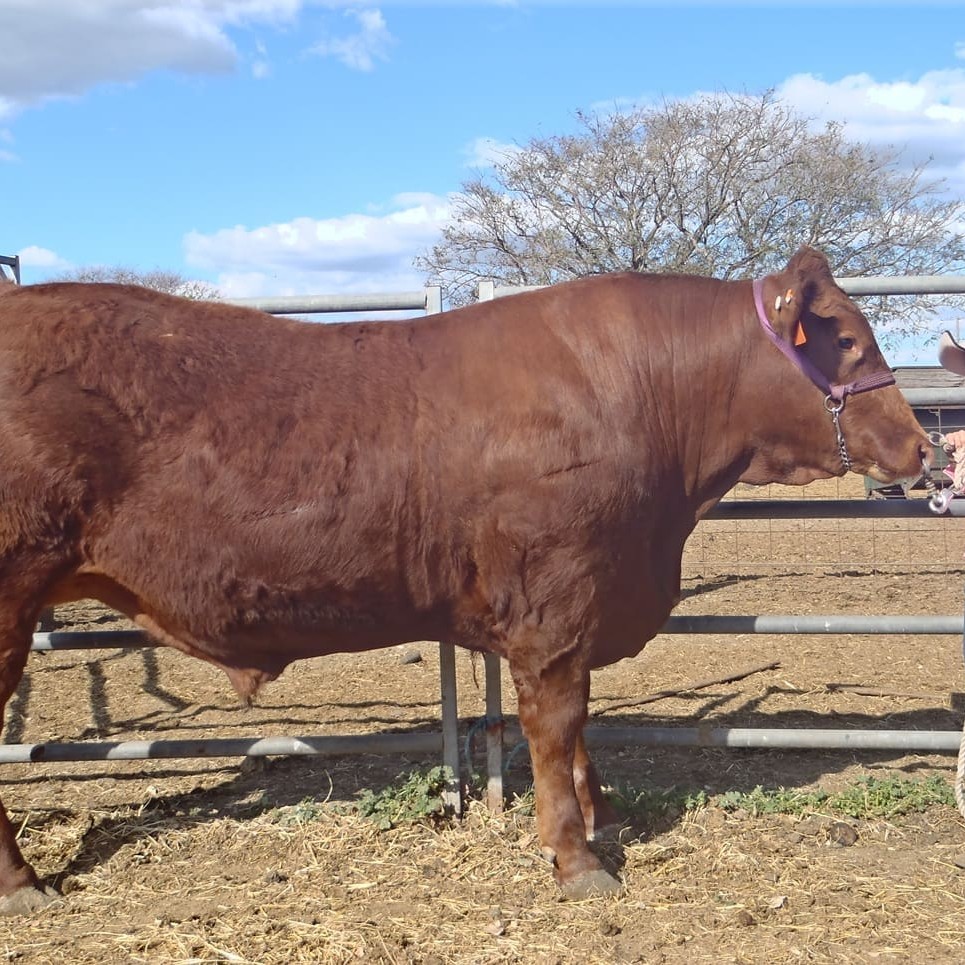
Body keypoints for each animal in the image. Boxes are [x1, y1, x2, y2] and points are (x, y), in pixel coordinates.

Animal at [0, 245, 928, 908]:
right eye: (847, 339)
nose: (923, 446)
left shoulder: (578, 607)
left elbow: (579, 729)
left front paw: (602, 815)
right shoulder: (555, 601)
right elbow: (556, 724)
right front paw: (577, 857)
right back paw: (25, 885)